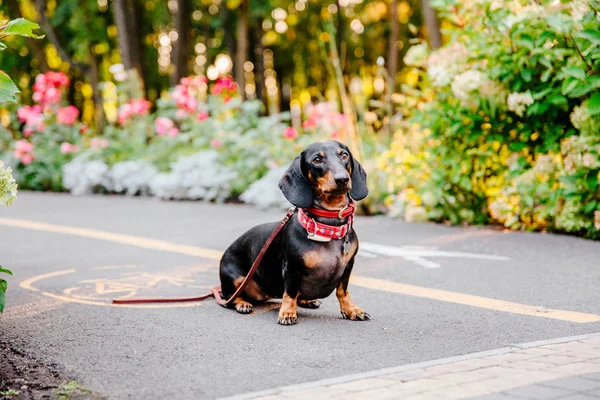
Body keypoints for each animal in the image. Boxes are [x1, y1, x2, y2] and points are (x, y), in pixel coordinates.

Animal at [220, 141, 370, 324]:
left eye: (344, 155)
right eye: (317, 159)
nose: (342, 179)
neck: (327, 228)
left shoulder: (348, 266)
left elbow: (342, 290)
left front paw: (350, 309)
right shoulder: (291, 267)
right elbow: (291, 292)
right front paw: (287, 312)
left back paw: (307, 300)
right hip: (235, 278)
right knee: (230, 298)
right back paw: (242, 303)